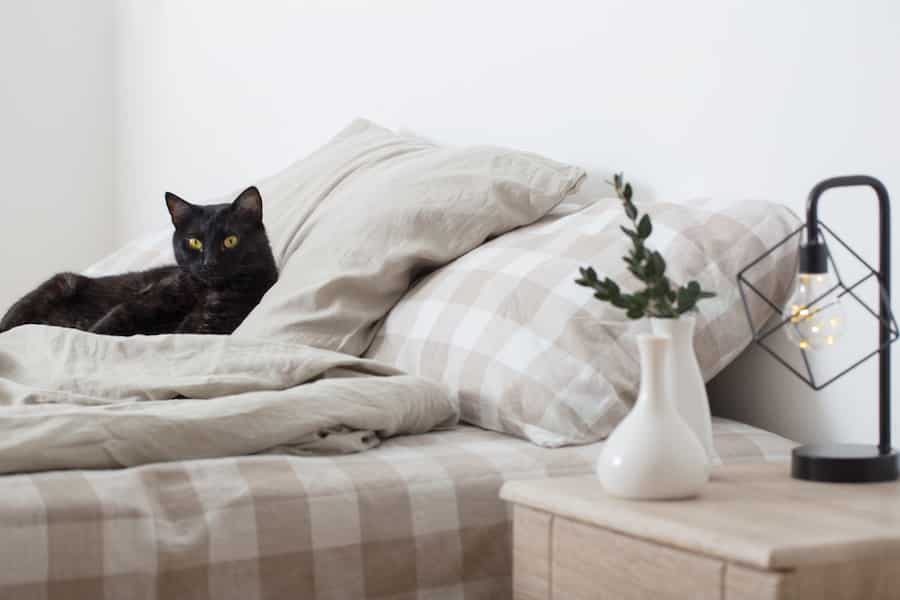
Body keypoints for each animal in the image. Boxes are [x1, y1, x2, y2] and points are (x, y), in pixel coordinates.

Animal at [0, 186, 278, 336]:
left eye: (230, 240)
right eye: (194, 242)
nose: (208, 262)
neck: (204, 292)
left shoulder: (206, 327)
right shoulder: (137, 306)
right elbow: (101, 330)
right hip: (60, 283)